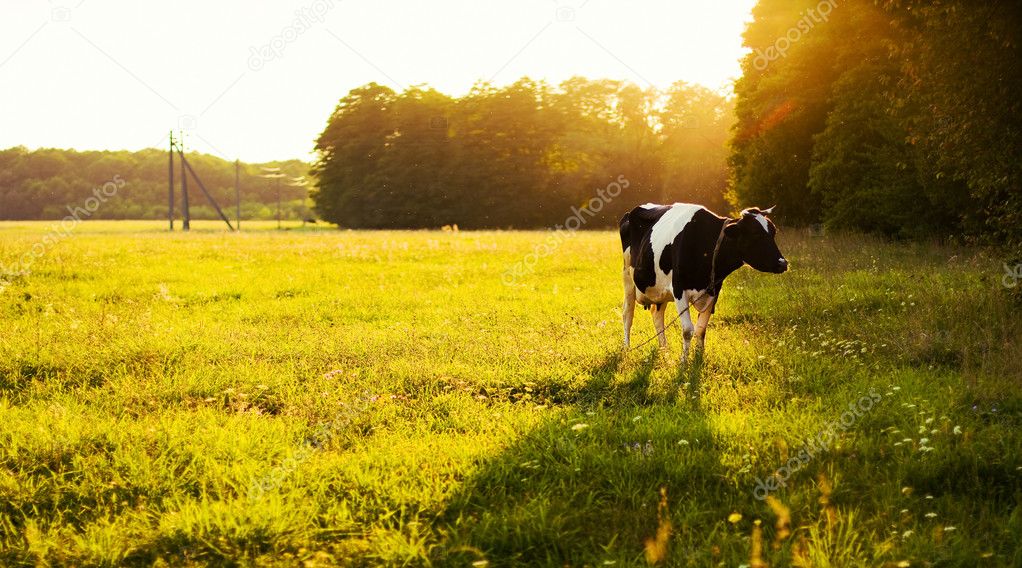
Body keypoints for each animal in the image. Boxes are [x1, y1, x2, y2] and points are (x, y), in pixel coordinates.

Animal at [613, 205, 788, 359]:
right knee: (627, 314)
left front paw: (698, 358)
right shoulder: (678, 289)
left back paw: (664, 350)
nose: (783, 263)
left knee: (657, 316)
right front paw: (683, 362)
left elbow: (701, 329)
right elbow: (687, 330)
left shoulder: (713, 291)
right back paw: (627, 348)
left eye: (773, 232)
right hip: (627, 277)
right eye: (755, 234)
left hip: (658, 290)